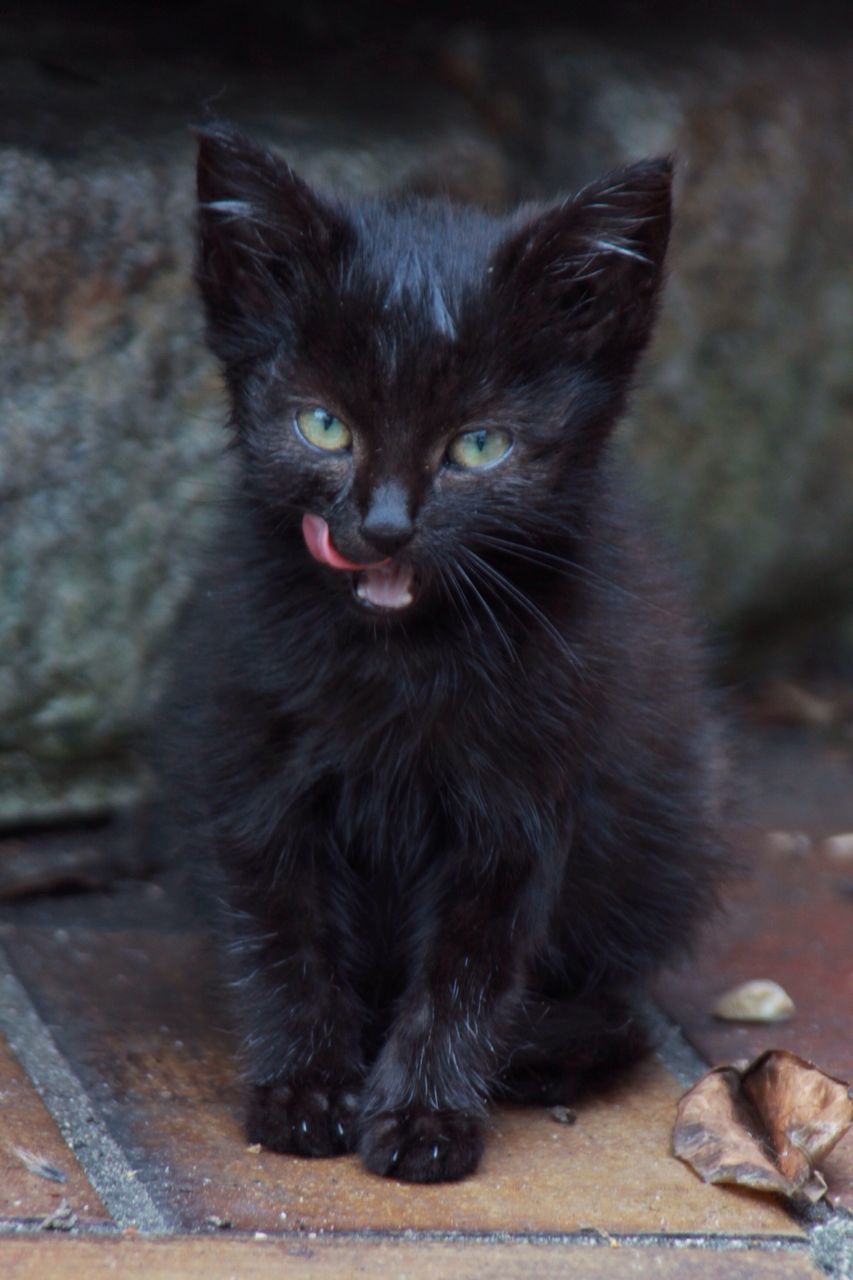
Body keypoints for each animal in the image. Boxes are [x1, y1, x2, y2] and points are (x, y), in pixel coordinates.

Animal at [178, 124, 722, 1182]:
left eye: (477, 447)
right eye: (324, 426)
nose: (384, 526)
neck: (402, 660)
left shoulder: (519, 800)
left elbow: (469, 966)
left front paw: (424, 1116)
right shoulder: (254, 761)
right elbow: (285, 936)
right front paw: (304, 1091)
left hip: (663, 834)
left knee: (614, 1005)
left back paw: (547, 1050)